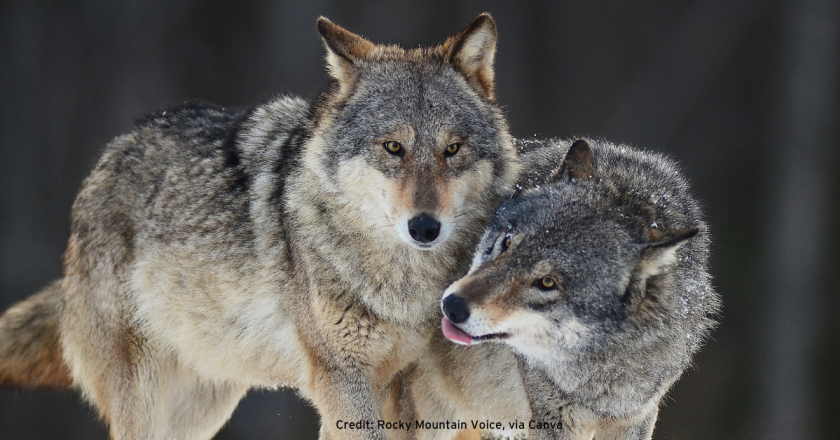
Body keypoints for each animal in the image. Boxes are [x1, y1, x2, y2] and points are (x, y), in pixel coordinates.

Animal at [0, 14, 520, 440]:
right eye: (393, 148)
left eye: (452, 149)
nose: (425, 228)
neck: (399, 282)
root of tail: (110, 154)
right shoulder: (341, 378)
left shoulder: (396, 387)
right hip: (146, 402)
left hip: (203, 409)